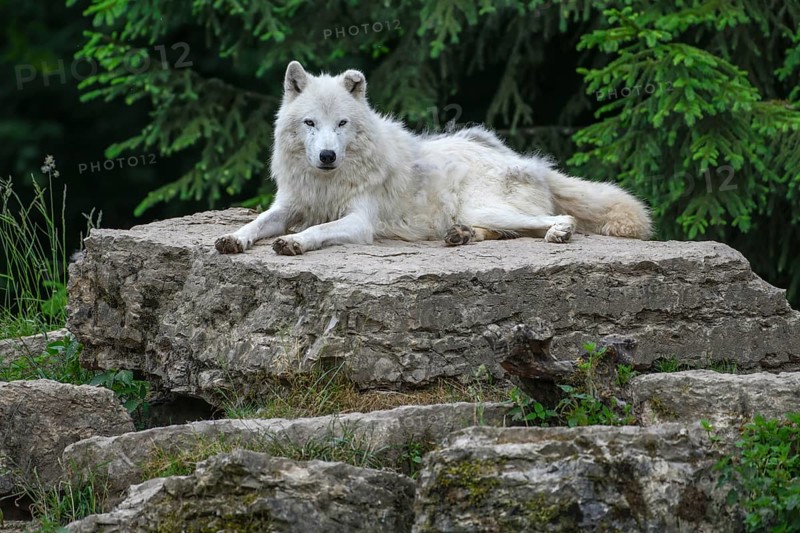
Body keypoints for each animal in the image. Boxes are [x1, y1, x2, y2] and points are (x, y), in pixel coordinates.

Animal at [215, 61, 651, 256]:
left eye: (341, 123)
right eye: (310, 122)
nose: (326, 155)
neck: (327, 182)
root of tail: (532, 163)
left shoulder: (358, 223)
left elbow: (318, 230)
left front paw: (293, 242)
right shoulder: (289, 206)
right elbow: (257, 222)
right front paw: (234, 238)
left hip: (484, 206)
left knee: (554, 220)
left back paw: (558, 232)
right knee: (504, 232)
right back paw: (461, 236)